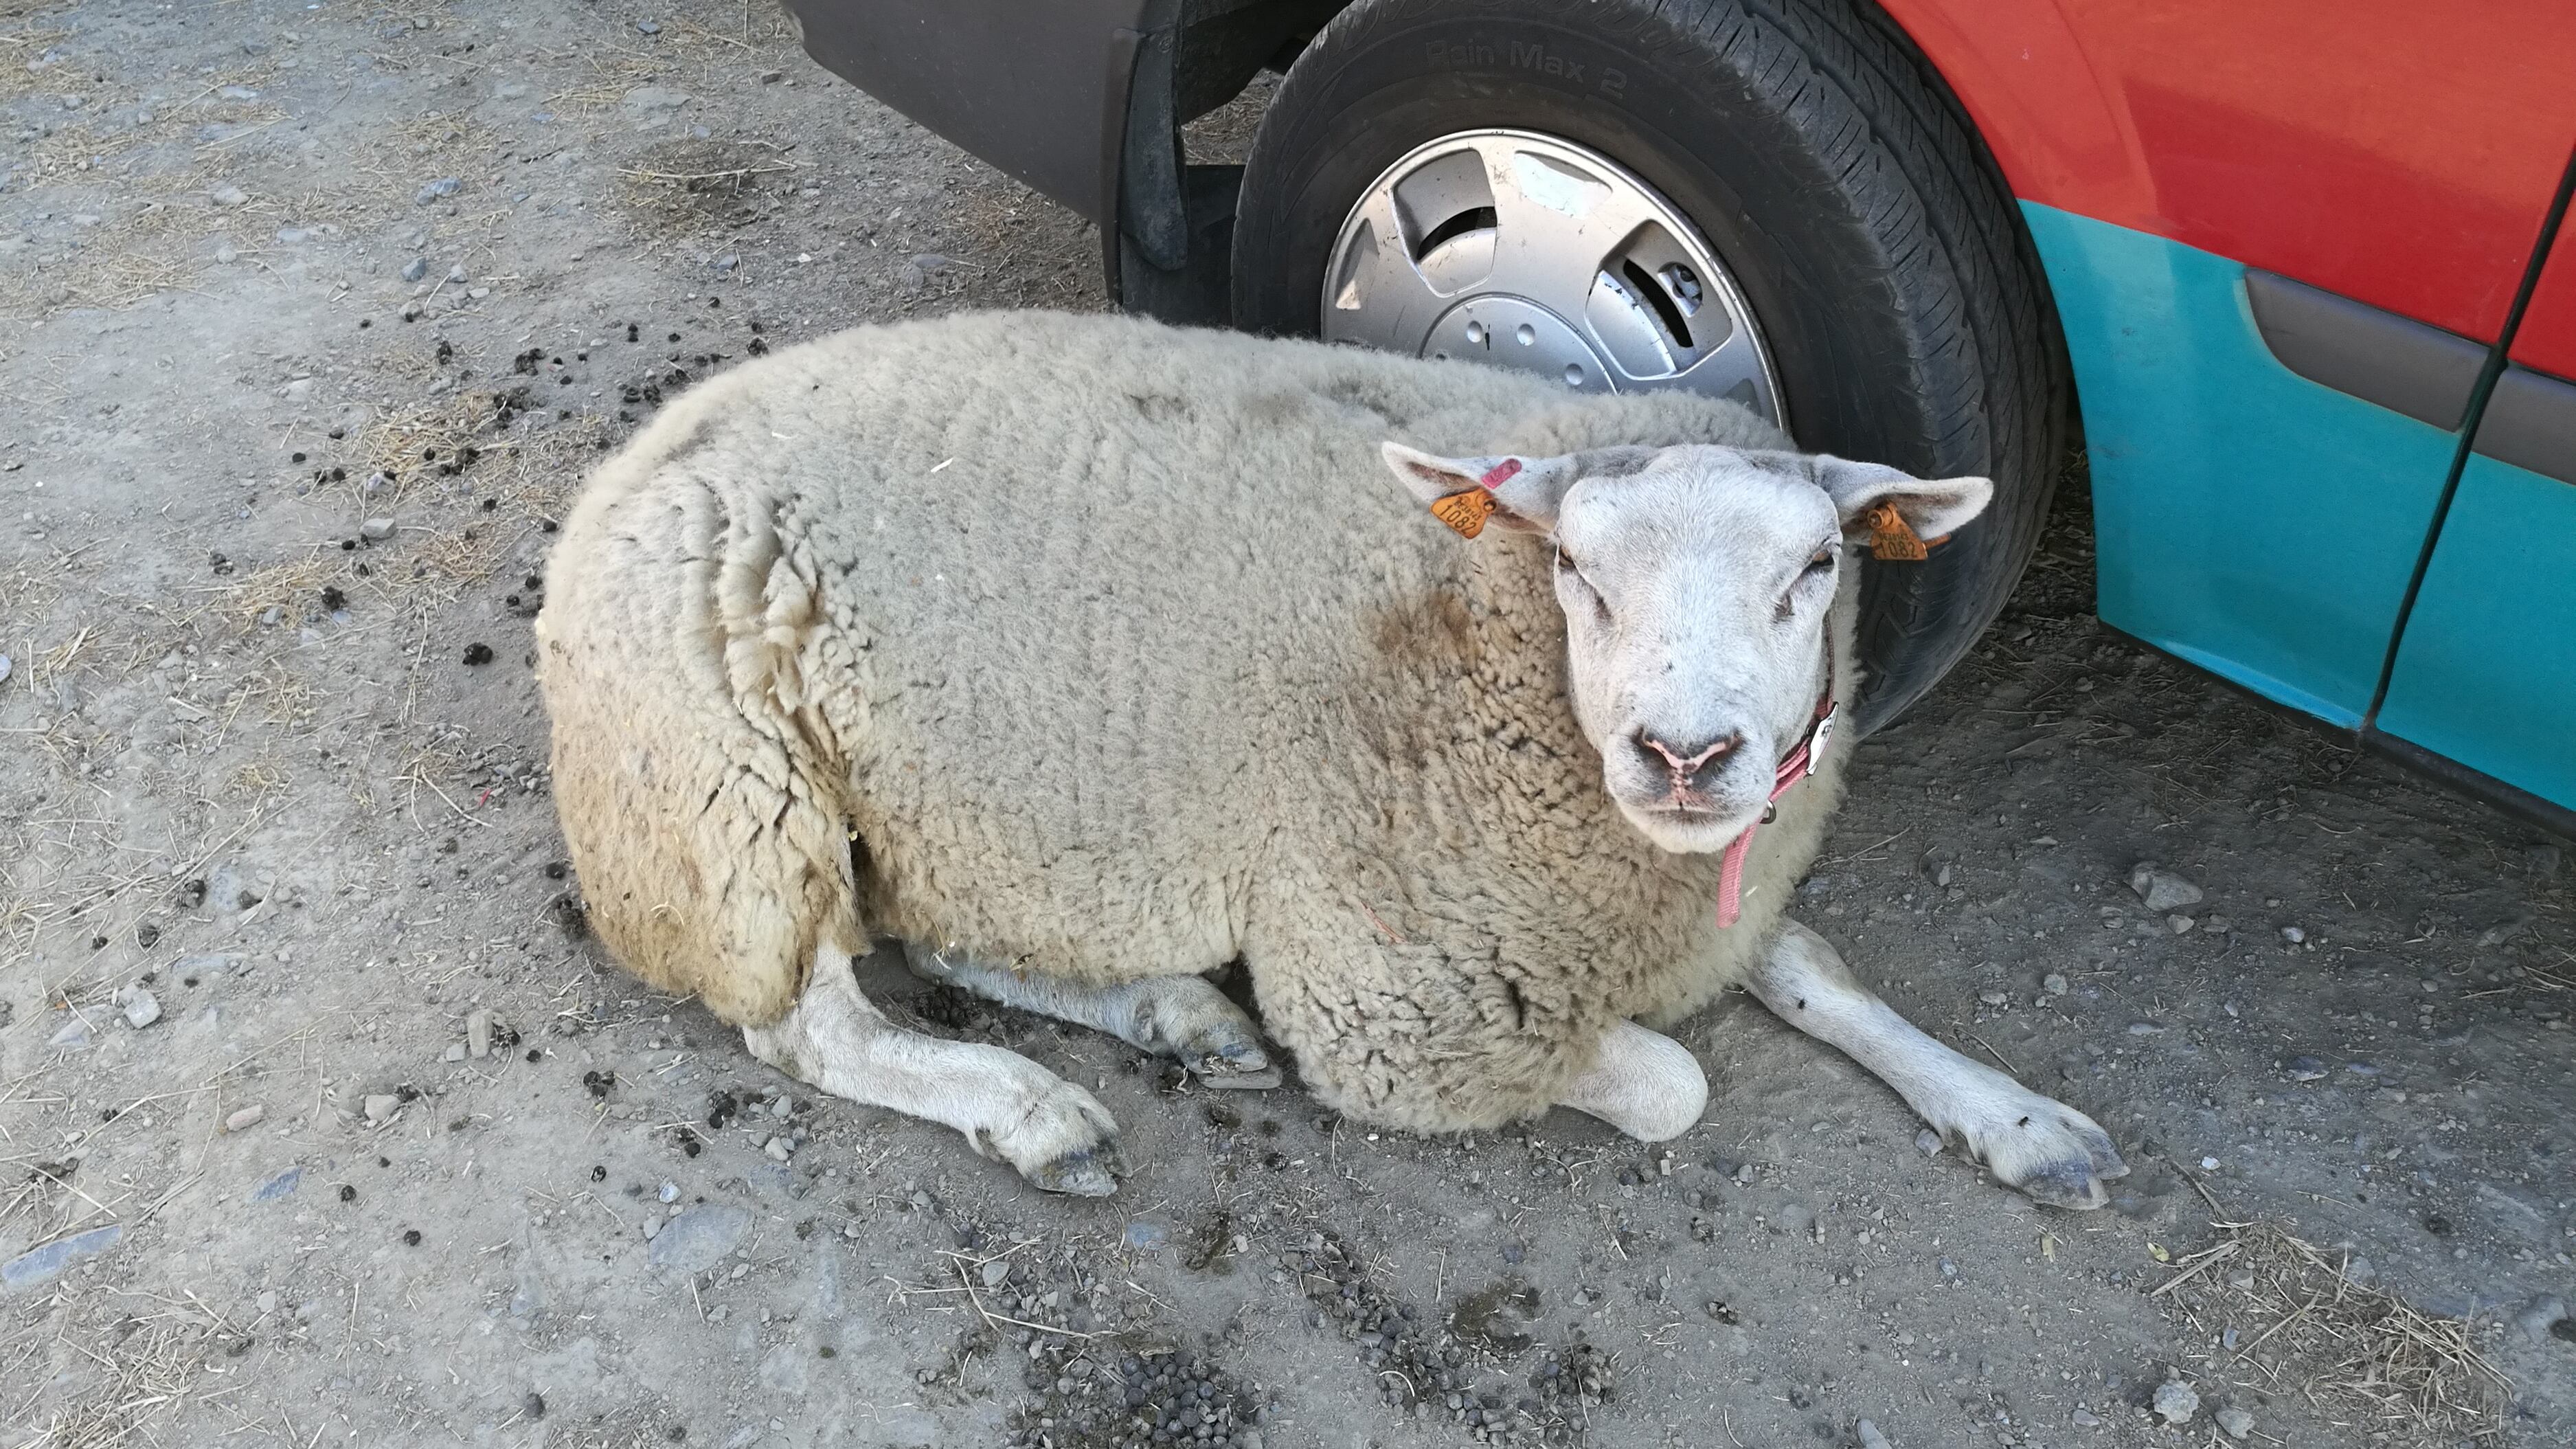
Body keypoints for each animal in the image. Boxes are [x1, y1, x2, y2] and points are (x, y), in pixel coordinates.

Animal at [535, 309, 2127, 1208]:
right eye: (1579, 574)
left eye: (1815, 567)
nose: (1687, 754)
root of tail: (635, 461)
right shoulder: (1396, 995)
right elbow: (1675, 1082)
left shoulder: (1715, 885)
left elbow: (1816, 968)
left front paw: (2019, 1117)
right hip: (729, 801)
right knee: (805, 1025)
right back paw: (1033, 1107)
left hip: (959, 817)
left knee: (940, 934)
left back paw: (1178, 1011)